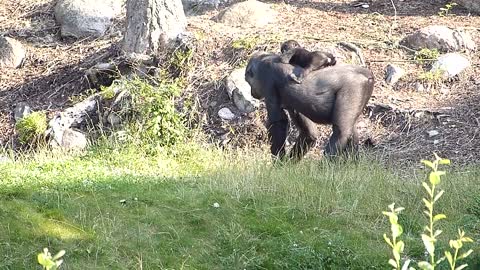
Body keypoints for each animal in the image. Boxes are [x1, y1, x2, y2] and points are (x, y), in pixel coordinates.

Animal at [244, 51, 376, 159]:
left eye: (248, 81)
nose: (251, 92)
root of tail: (365, 72)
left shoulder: (267, 78)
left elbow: (278, 122)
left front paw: (278, 164)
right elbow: (310, 133)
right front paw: (287, 165)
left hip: (354, 86)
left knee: (341, 131)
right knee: (351, 130)